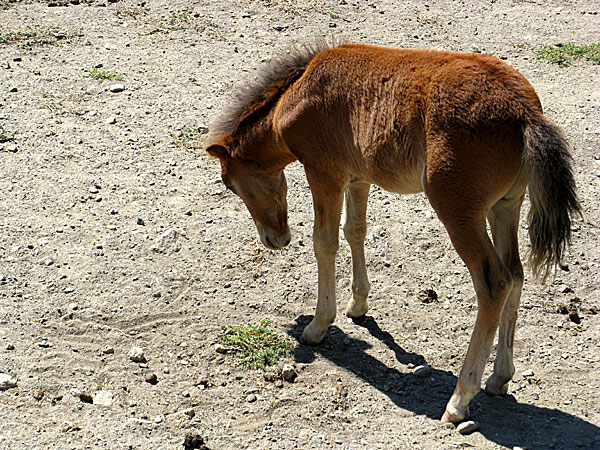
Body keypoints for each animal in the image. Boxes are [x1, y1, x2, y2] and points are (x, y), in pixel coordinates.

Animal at [204, 41, 580, 422]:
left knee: (494, 282)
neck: (297, 93)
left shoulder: (324, 171)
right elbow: (355, 230)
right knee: (515, 274)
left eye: (230, 184)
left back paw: (460, 398)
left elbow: (325, 242)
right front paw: (358, 305)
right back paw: (499, 378)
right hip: (505, 205)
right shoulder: (358, 176)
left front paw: (318, 325)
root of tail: (524, 111)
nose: (274, 239)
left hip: (458, 209)